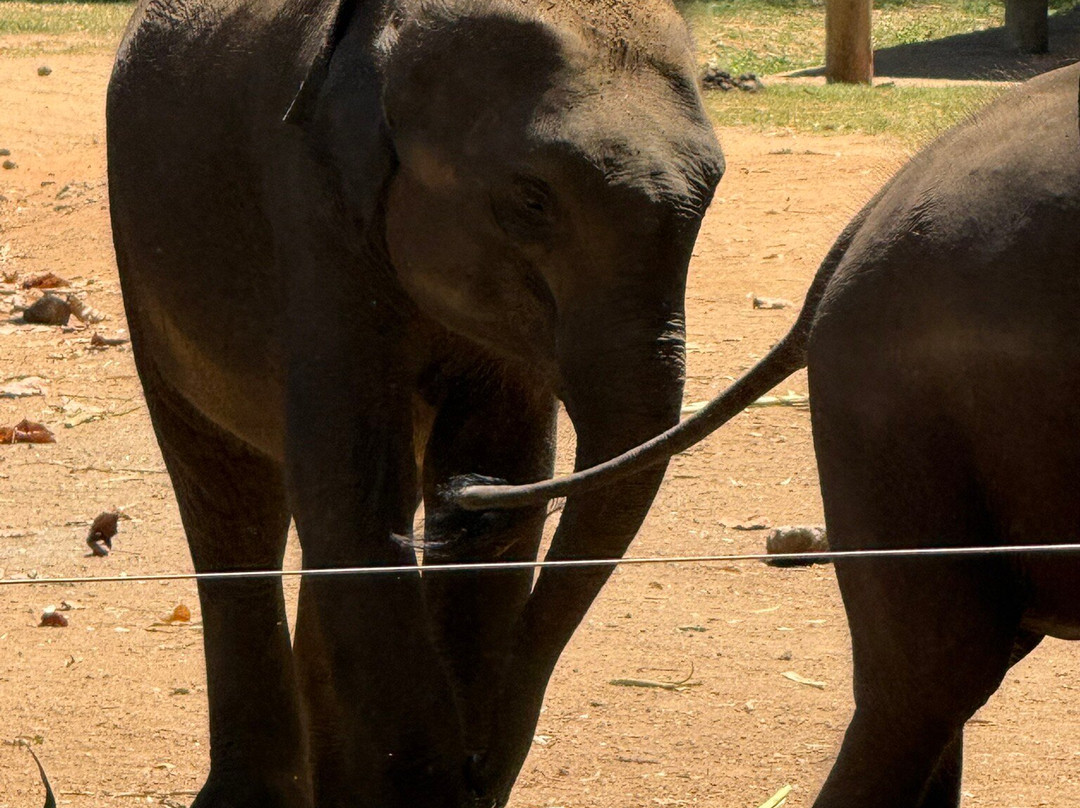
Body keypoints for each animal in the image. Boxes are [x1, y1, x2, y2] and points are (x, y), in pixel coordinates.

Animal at [105, 1, 723, 806]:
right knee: (232, 499)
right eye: (532, 200)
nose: (479, 764)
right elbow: (352, 489)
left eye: (709, 193)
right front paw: (425, 781)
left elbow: (506, 462)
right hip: (145, 269)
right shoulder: (311, 212)